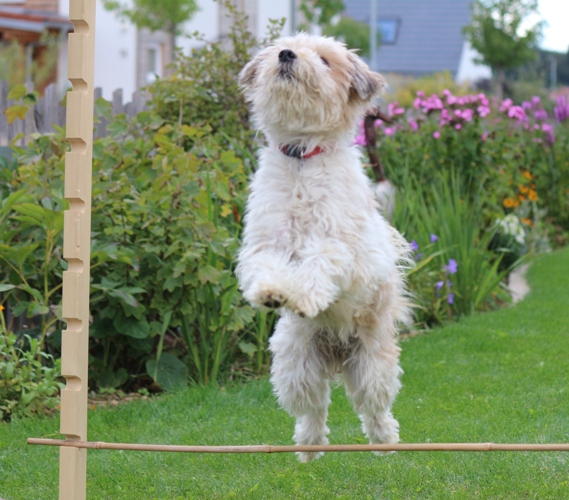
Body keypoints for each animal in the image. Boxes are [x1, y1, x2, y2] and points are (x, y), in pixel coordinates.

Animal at [236, 34, 411, 462]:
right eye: (281, 46)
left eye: (325, 59)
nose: (286, 55)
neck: (302, 158)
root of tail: (336, 353)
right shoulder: (266, 242)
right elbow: (265, 267)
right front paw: (272, 293)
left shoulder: (339, 248)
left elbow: (318, 267)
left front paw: (302, 297)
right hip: (293, 362)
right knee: (313, 407)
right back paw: (309, 447)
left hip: (372, 364)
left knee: (374, 407)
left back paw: (385, 443)